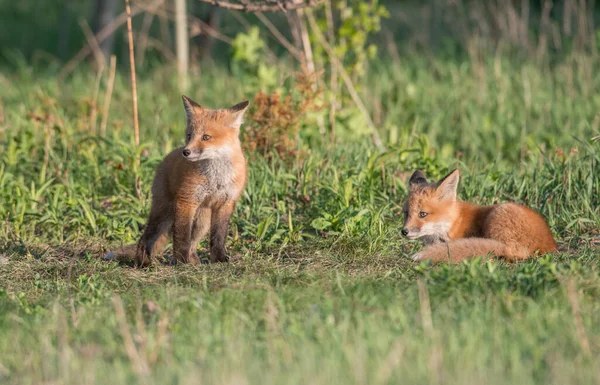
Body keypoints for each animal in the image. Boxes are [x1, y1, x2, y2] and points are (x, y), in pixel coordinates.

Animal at [104, 94, 247, 266]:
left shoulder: (225, 203)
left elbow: (218, 237)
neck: (216, 178)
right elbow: (182, 236)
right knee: (146, 238)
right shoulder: (186, 200)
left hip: (202, 222)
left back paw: (195, 262)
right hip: (164, 213)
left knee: (193, 244)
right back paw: (144, 263)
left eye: (206, 137)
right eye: (189, 135)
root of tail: (166, 157)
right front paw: (181, 261)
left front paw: (219, 260)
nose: (186, 152)